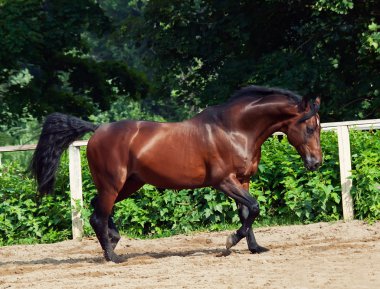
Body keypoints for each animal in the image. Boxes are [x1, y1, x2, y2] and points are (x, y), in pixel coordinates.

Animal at [29, 85, 322, 260]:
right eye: (309, 127)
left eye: (319, 127)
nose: (316, 163)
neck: (234, 129)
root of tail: (98, 129)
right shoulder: (223, 181)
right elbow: (254, 207)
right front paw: (230, 241)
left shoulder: (243, 180)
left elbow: (248, 211)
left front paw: (255, 247)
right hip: (114, 184)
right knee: (98, 215)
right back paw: (113, 256)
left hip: (128, 184)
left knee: (97, 208)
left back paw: (114, 241)